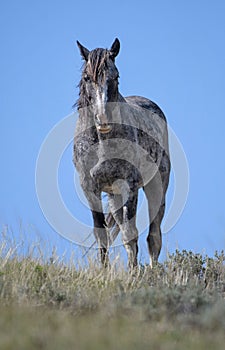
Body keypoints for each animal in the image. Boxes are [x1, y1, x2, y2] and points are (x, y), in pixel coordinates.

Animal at [74, 38, 171, 268]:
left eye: (115, 76)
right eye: (87, 77)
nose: (103, 120)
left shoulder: (129, 186)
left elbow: (130, 234)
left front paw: (133, 272)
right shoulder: (90, 189)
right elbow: (101, 234)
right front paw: (104, 271)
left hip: (156, 187)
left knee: (154, 236)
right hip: (114, 195)